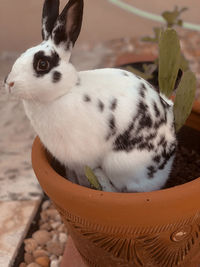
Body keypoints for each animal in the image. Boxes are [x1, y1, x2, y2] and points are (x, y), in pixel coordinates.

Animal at [3, 0, 177, 193]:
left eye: (42, 64)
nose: (9, 83)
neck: (63, 93)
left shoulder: (85, 160)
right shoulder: (73, 164)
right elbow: (75, 178)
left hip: (119, 165)